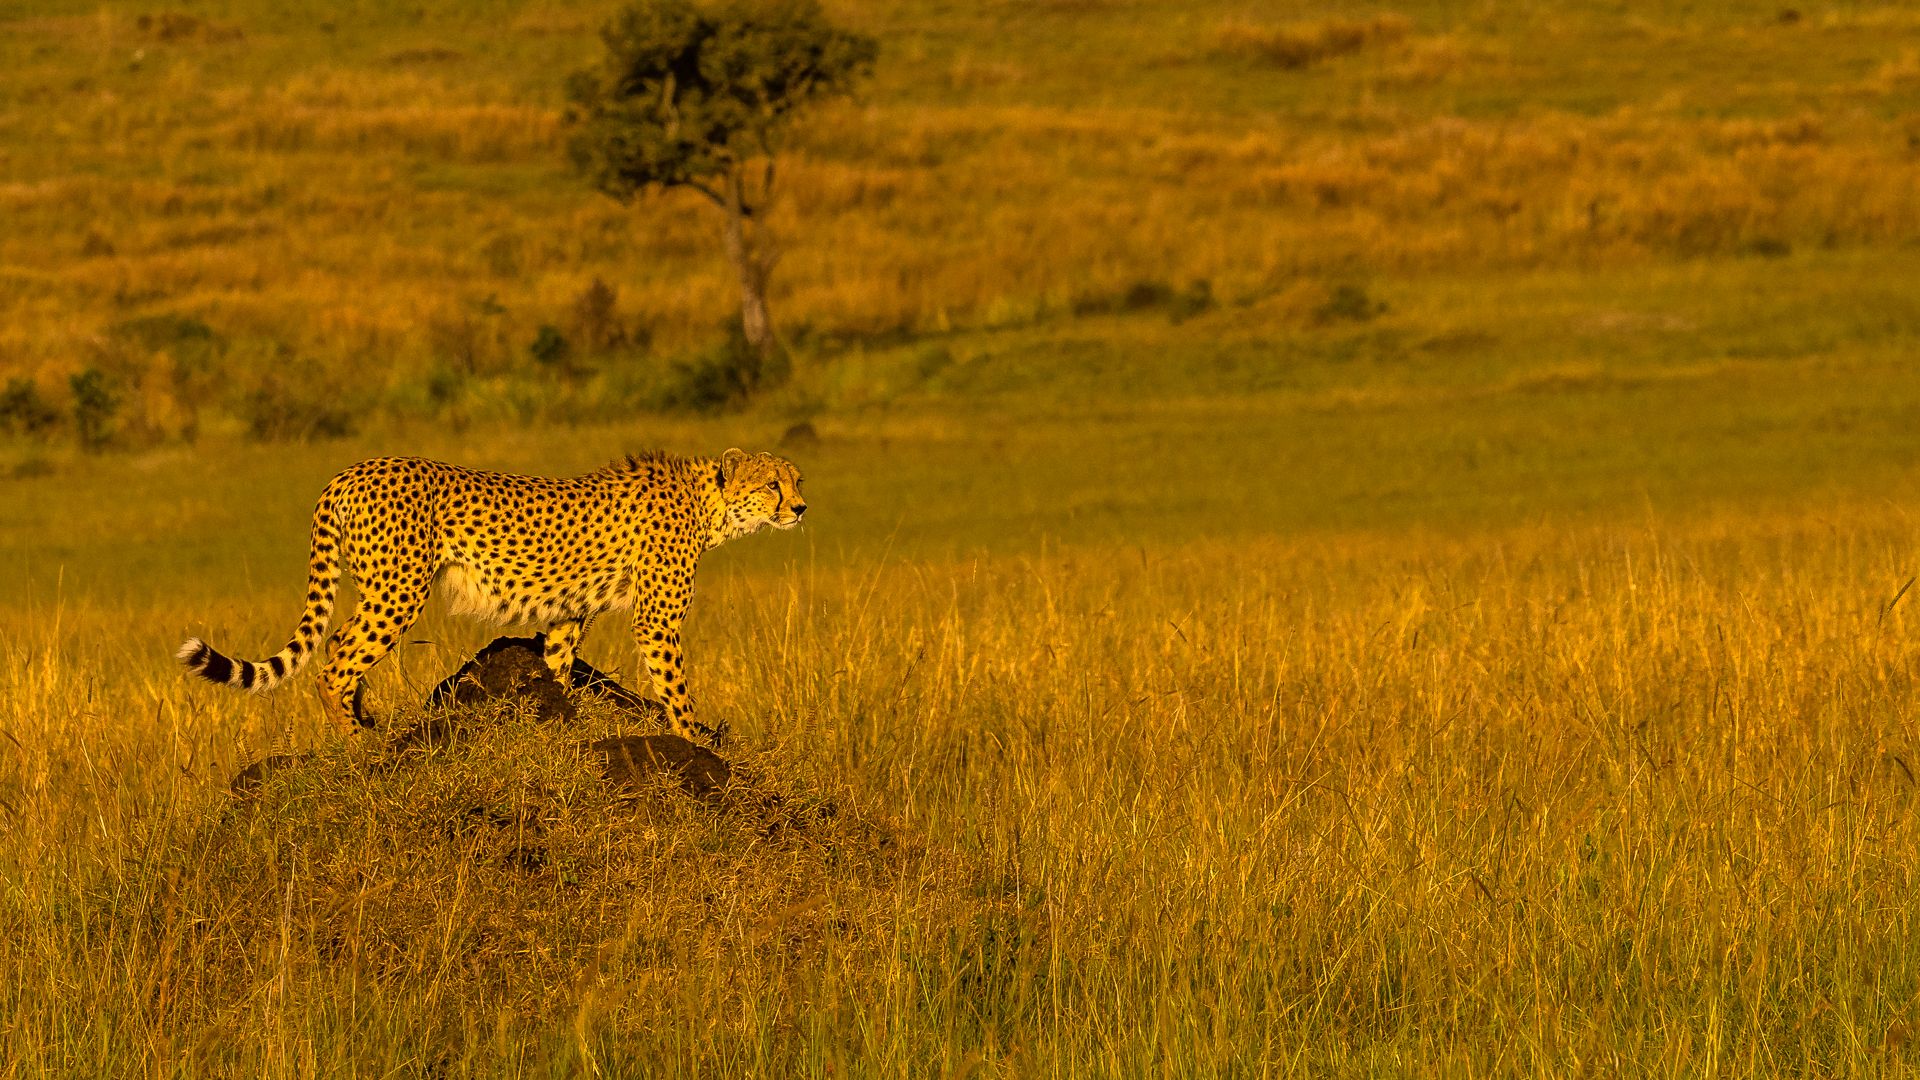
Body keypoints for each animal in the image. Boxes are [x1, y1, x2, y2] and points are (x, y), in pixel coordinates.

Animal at [176, 448, 805, 742]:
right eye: (772, 484)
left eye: (797, 480)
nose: (800, 508)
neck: (708, 503)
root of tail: (352, 469)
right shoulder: (657, 619)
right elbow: (675, 687)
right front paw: (695, 738)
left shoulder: (569, 612)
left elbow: (557, 664)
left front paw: (561, 718)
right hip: (399, 589)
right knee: (335, 660)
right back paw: (357, 741)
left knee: (339, 648)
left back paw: (366, 720)